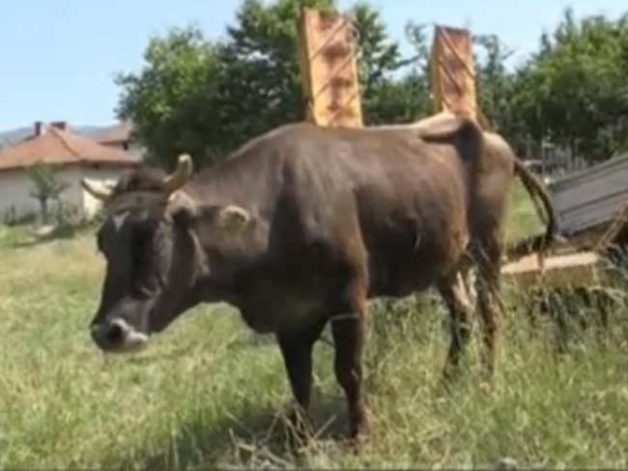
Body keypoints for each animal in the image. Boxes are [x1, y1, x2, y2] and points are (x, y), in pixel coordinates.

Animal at [82, 112, 556, 444]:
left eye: (152, 235)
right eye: (103, 243)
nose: (109, 330)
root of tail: (490, 135)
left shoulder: (348, 298)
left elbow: (349, 370)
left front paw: (360, 433)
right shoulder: (290, 315)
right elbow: (299, 380)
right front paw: (301, 440)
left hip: (488, 245)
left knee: (491, 312)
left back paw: (487, 378)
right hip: (446, 258)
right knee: (461, 316)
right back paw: (449, 381)